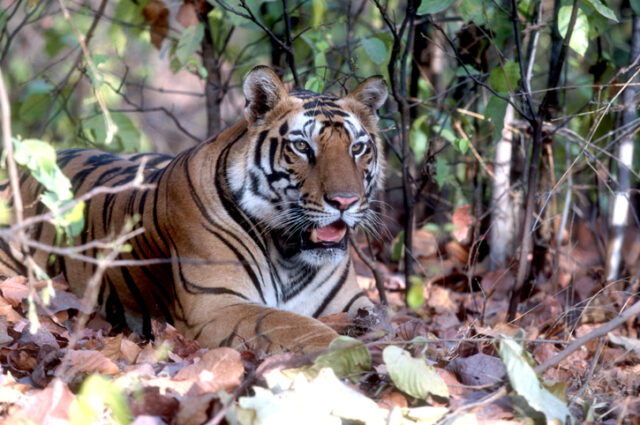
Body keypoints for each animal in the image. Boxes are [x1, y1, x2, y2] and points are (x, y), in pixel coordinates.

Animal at [0, 66, 388, 353]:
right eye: (302, 147)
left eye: (357, 148)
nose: (345, 202)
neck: (289, 252)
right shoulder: (217, 306)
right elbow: (292, 324)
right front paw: (348, 350)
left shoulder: (354, 301)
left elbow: (384, 325)